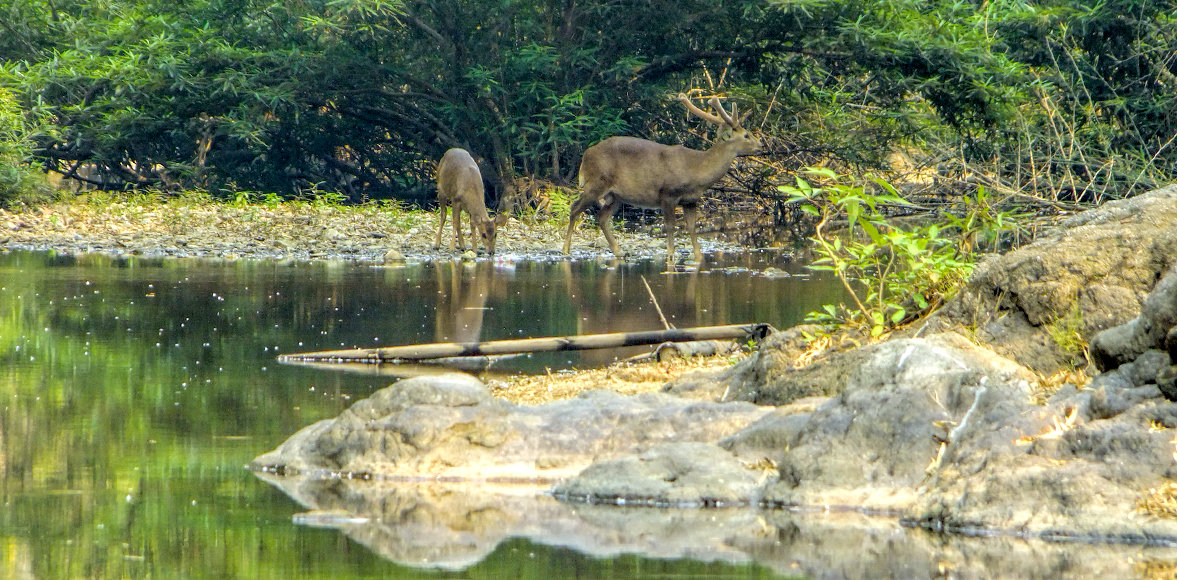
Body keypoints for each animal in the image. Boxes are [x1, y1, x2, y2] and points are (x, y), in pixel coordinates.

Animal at [562, 93, 762, 264]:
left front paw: (698, 256)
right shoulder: (668, 194)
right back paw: (565, 249)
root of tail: (586, 155)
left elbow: (691, 227)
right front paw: (671, 255)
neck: (696, 170)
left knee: (601, 216)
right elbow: (671, 226)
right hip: (596, 182)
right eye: (746, 135)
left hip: (617, 195)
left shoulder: (690, 200)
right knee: (575, 208)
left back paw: (619, 251)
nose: (760, 145)